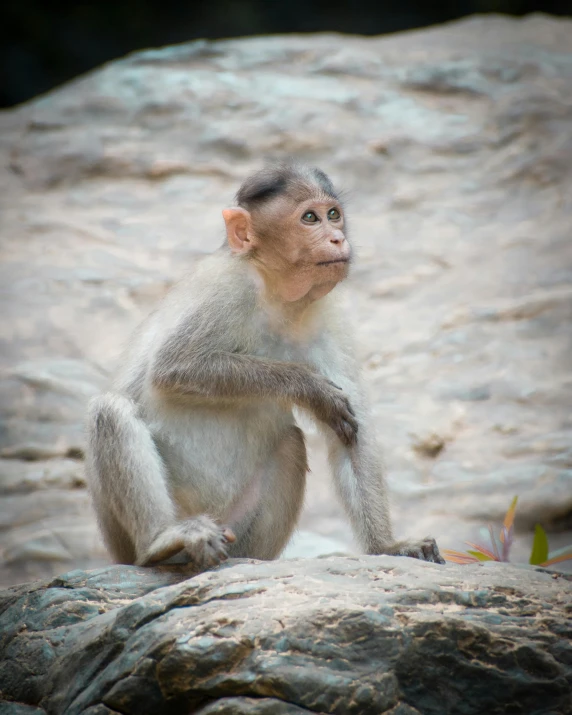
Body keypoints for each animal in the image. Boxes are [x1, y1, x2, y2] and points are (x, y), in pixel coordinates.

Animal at [85, 164, 444, 572]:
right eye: (310, 218)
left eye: (333, 214)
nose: (337, 238)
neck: (277, 294)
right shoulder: (227, 288)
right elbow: (175, 367)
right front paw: (309, 387)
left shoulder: (325, 316)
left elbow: (352, 433)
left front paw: (389, 545)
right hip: (124, 541)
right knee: (110, 411)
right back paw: (163, 542)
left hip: (233, 527)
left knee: (291, 444)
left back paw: (245, 561)